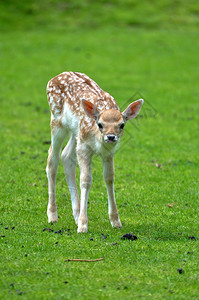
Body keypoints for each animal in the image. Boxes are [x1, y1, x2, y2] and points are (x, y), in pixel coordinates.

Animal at [46, 71, 143, 233]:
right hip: (57, 121)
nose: (111, 137)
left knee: (66, 156)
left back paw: (76, 214)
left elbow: (109, 178)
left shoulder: (108, 153)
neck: (98, 142)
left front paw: (116, 221)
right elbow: (86, 180)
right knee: (52, 159)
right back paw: (53, 215)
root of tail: (54, 78)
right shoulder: (84, 147)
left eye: (122, 125)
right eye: (100, 124)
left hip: (76, 132)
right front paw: (83, 225)